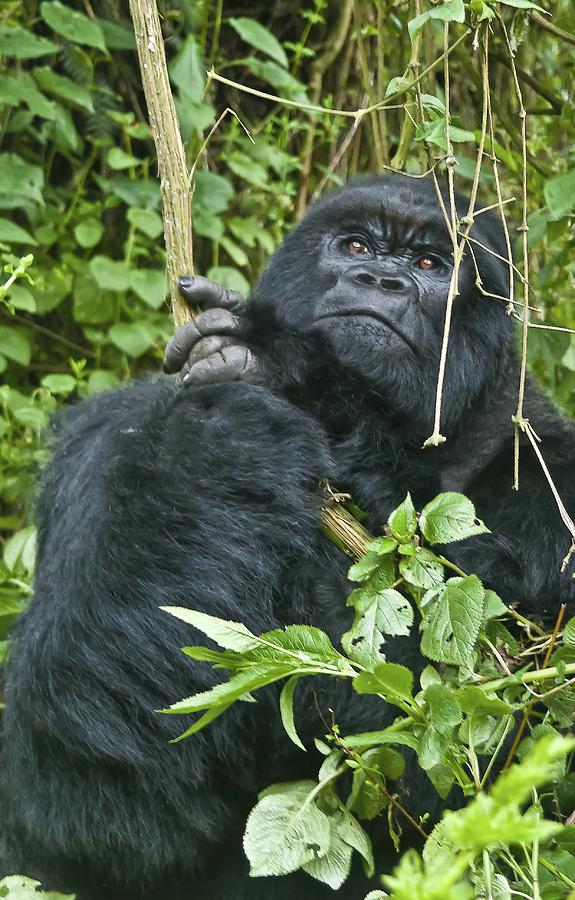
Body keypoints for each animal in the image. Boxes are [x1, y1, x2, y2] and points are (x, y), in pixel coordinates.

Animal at [3, 176, 575, 900]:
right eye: (354, 246)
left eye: (429, 265)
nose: (379, 280)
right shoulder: (103, 436)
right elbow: (85, 789)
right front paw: (219, 437)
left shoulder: (558, 473)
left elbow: (487, 715)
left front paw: (293, 375)